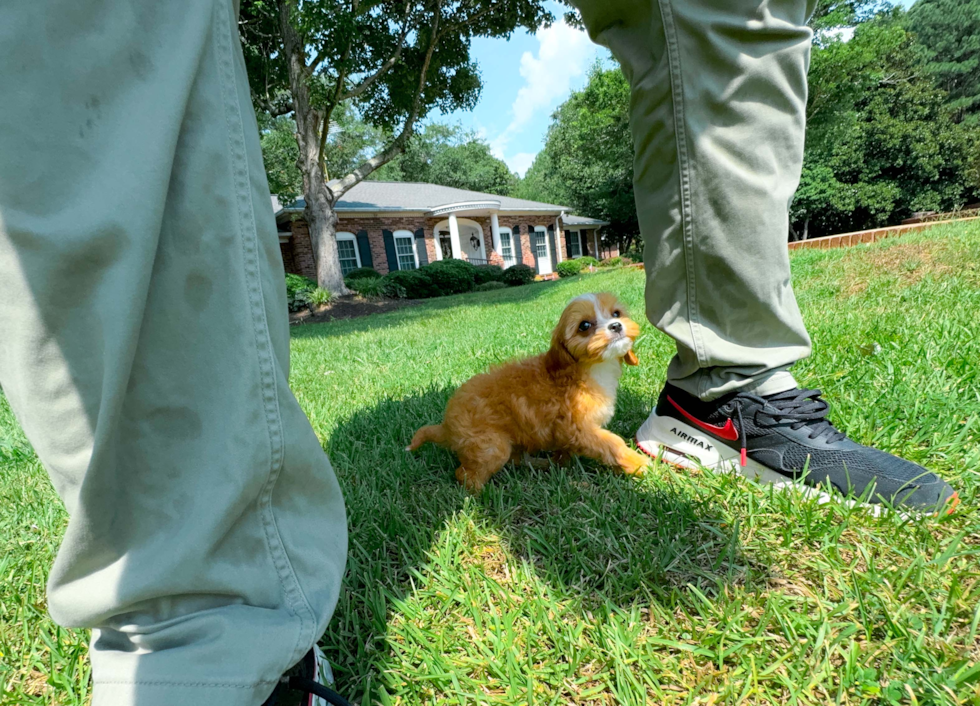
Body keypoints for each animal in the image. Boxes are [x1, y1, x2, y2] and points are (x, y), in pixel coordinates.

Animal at [408, 292, 652, 490]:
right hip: (490, 446)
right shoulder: (579, 429)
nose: (616, 325)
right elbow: (612, 444)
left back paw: (538, 464)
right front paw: (639, 464)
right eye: (584, 326)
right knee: (465, 474)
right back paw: (480, 496)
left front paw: (560, 463)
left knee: (515, 459)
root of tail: (446, 425)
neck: (585, 369)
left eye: (616, 313)